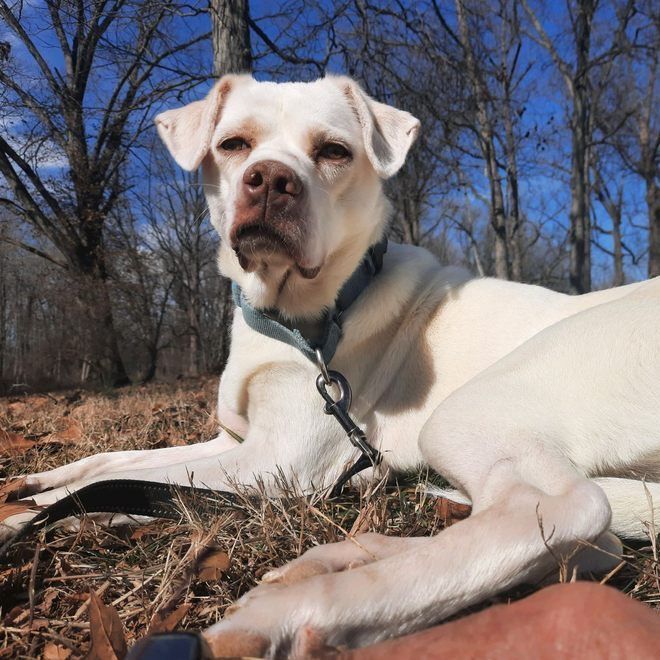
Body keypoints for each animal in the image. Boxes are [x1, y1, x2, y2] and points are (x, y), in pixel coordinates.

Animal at [3, 76, 660, 656]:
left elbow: (121, 480)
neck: (291, 317)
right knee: (592, 545)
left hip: (472, 409)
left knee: (558, 510)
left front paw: (23, 521)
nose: (271, 180)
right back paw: (333, 558)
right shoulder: (233, 442)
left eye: (334, 151)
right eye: (233, 143)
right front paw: (37, 495)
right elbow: (119, 466)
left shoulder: (278, 462)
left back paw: (291, 614)